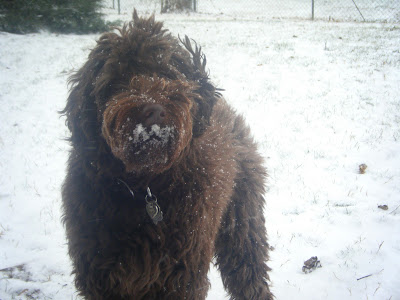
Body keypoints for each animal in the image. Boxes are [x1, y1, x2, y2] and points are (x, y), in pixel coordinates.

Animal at [61, 11, 274, 300]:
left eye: (165, 72)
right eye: (118, 79)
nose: (152, 110)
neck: (145, 189)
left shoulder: (180, 275)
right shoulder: (100, 273)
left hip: (242, 228)